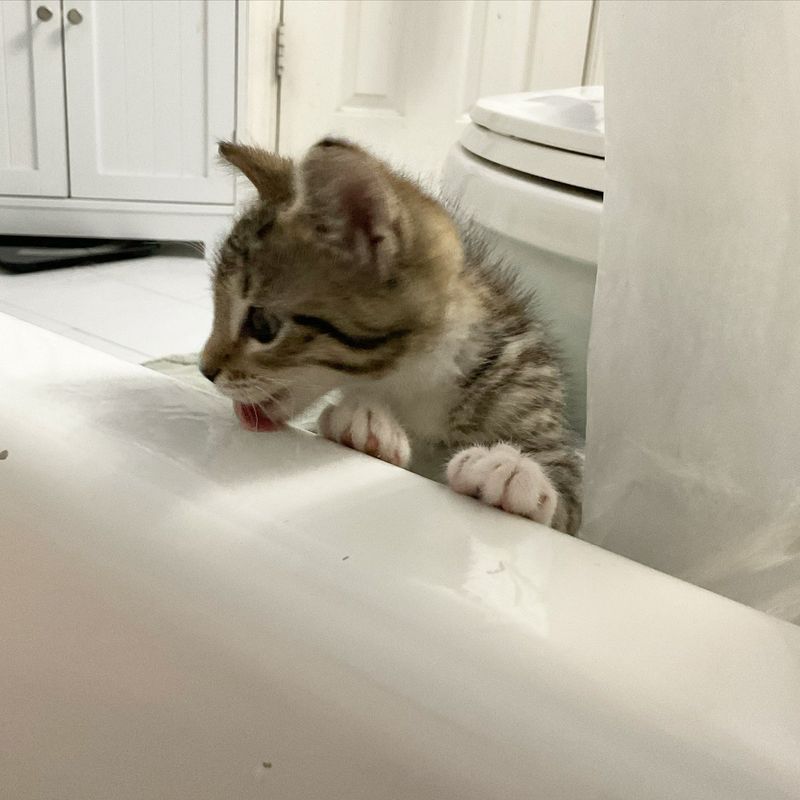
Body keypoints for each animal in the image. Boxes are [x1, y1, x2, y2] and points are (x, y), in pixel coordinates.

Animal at [202, 138, 580, 536]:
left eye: (263, 325)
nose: (204, 370)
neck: (417, 379)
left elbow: (564, 504)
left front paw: (516, 468)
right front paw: (360, 424)